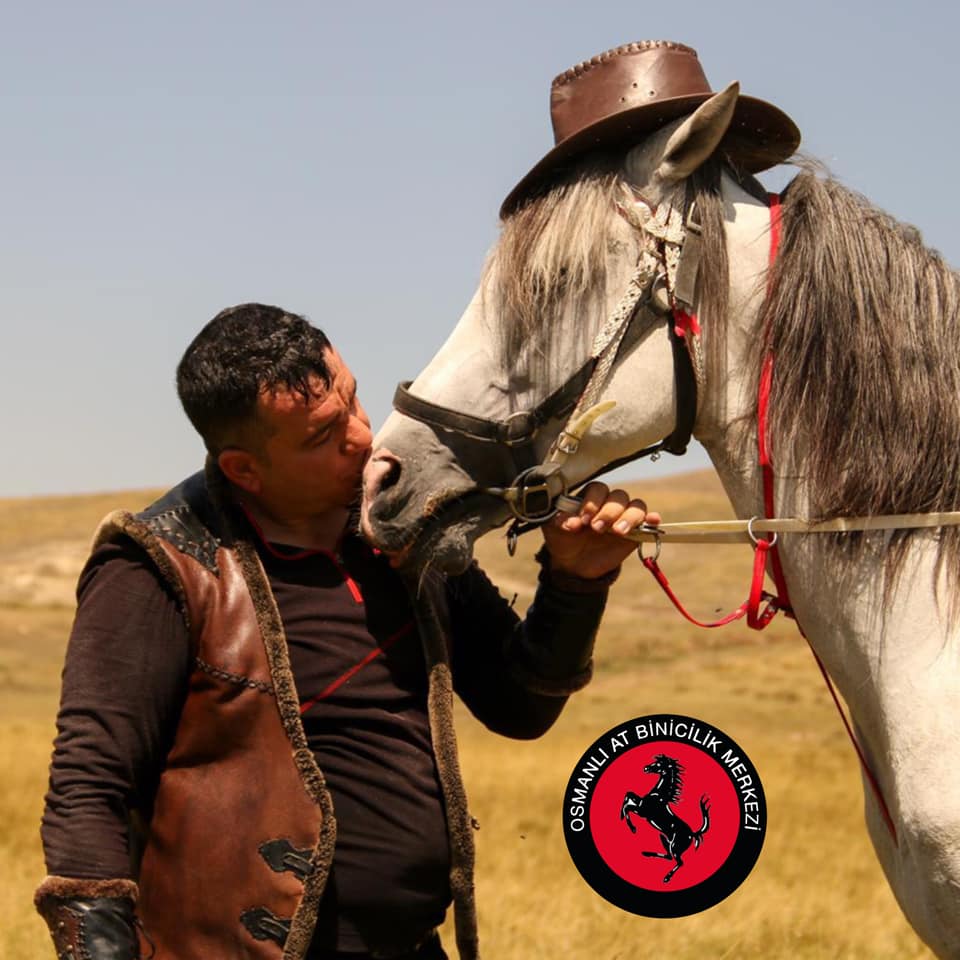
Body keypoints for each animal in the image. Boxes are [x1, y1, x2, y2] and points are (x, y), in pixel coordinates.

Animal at [620, 754, 710, 884]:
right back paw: (647, 853)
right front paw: (623, 818)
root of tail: (692, 834)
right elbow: (628, 795)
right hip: (664, 839)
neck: (659, 795)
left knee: (679, 862)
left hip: (675, 847)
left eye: (659, 764)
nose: (646, 768)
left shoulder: (642, 811)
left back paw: (667, 877)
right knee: (669, 856)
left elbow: (628, 805)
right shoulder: (641, 806)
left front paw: (632, 828)